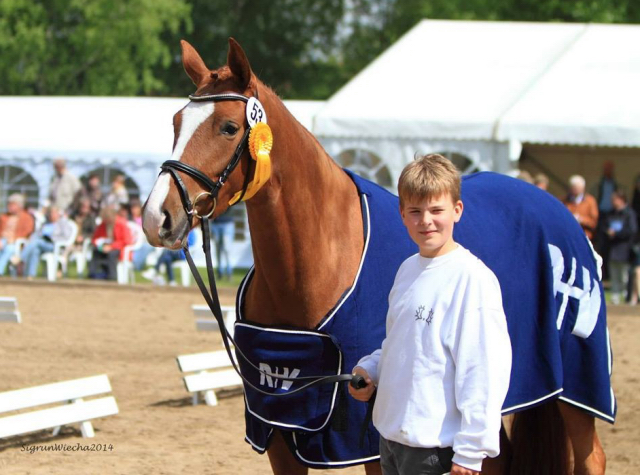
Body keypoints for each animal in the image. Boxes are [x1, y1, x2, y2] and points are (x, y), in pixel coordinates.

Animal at [142, 39, 608, 474]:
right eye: (176, 122)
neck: (316, 263)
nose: (156, 217)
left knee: (591, 457)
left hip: (575, 390)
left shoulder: (366, 436)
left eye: (228, 127)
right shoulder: (276, 432)